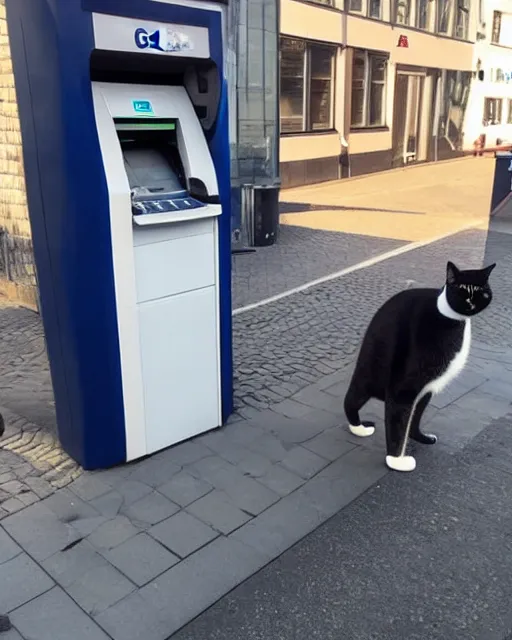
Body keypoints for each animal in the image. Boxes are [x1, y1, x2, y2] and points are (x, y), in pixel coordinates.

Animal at [346, 262, 494, 472]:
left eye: (483, 293)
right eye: (461, 290)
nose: (471, 304)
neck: (452, 319)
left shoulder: (427, 388)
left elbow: (415, 416)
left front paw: (419, 438)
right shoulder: (404, 387)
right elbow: (399, 419)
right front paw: (396, 460)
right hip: (371, 369)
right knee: (353, 397)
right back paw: (359, 427)